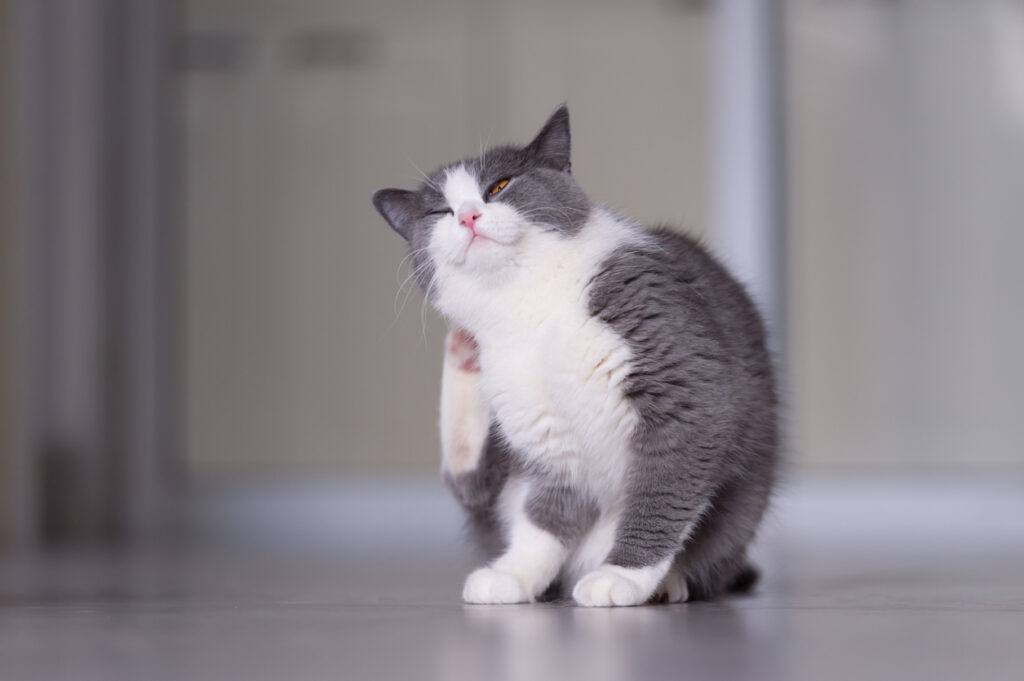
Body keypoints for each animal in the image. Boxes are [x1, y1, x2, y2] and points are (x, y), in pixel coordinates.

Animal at [372, 106, 778, 606]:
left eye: (499, 186)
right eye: (440, 211)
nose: (467, 216)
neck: (527, 304)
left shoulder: (679, 376)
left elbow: (662, 493)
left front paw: (623, 576)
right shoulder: (544, 433)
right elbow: (545, 517)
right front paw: (515, 574)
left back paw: (668, 583)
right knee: (472, 483)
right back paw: (463, 354)